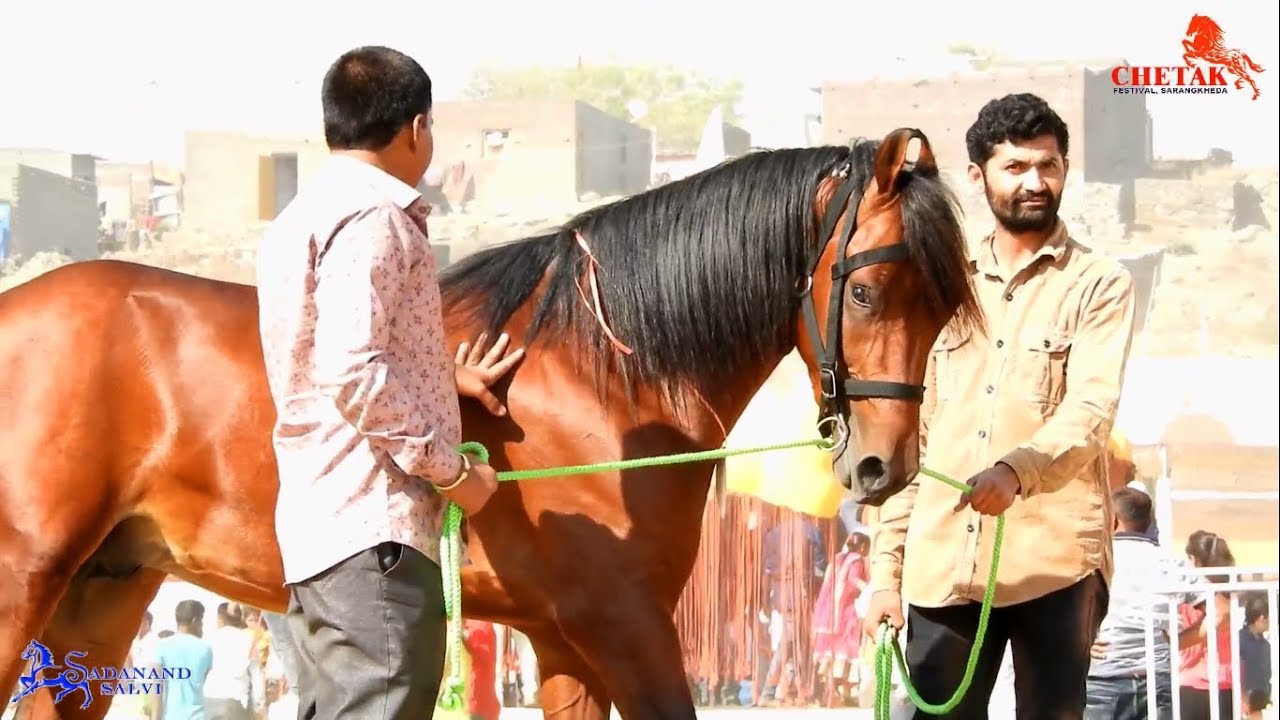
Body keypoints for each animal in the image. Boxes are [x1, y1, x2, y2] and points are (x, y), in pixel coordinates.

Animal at [0, 127, 981, 719]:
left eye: (944, 306)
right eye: (865, 290)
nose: (883, 469)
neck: (606, 377)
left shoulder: (561, 639)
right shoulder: (627, 626)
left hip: (103, 593)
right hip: (28, 581)